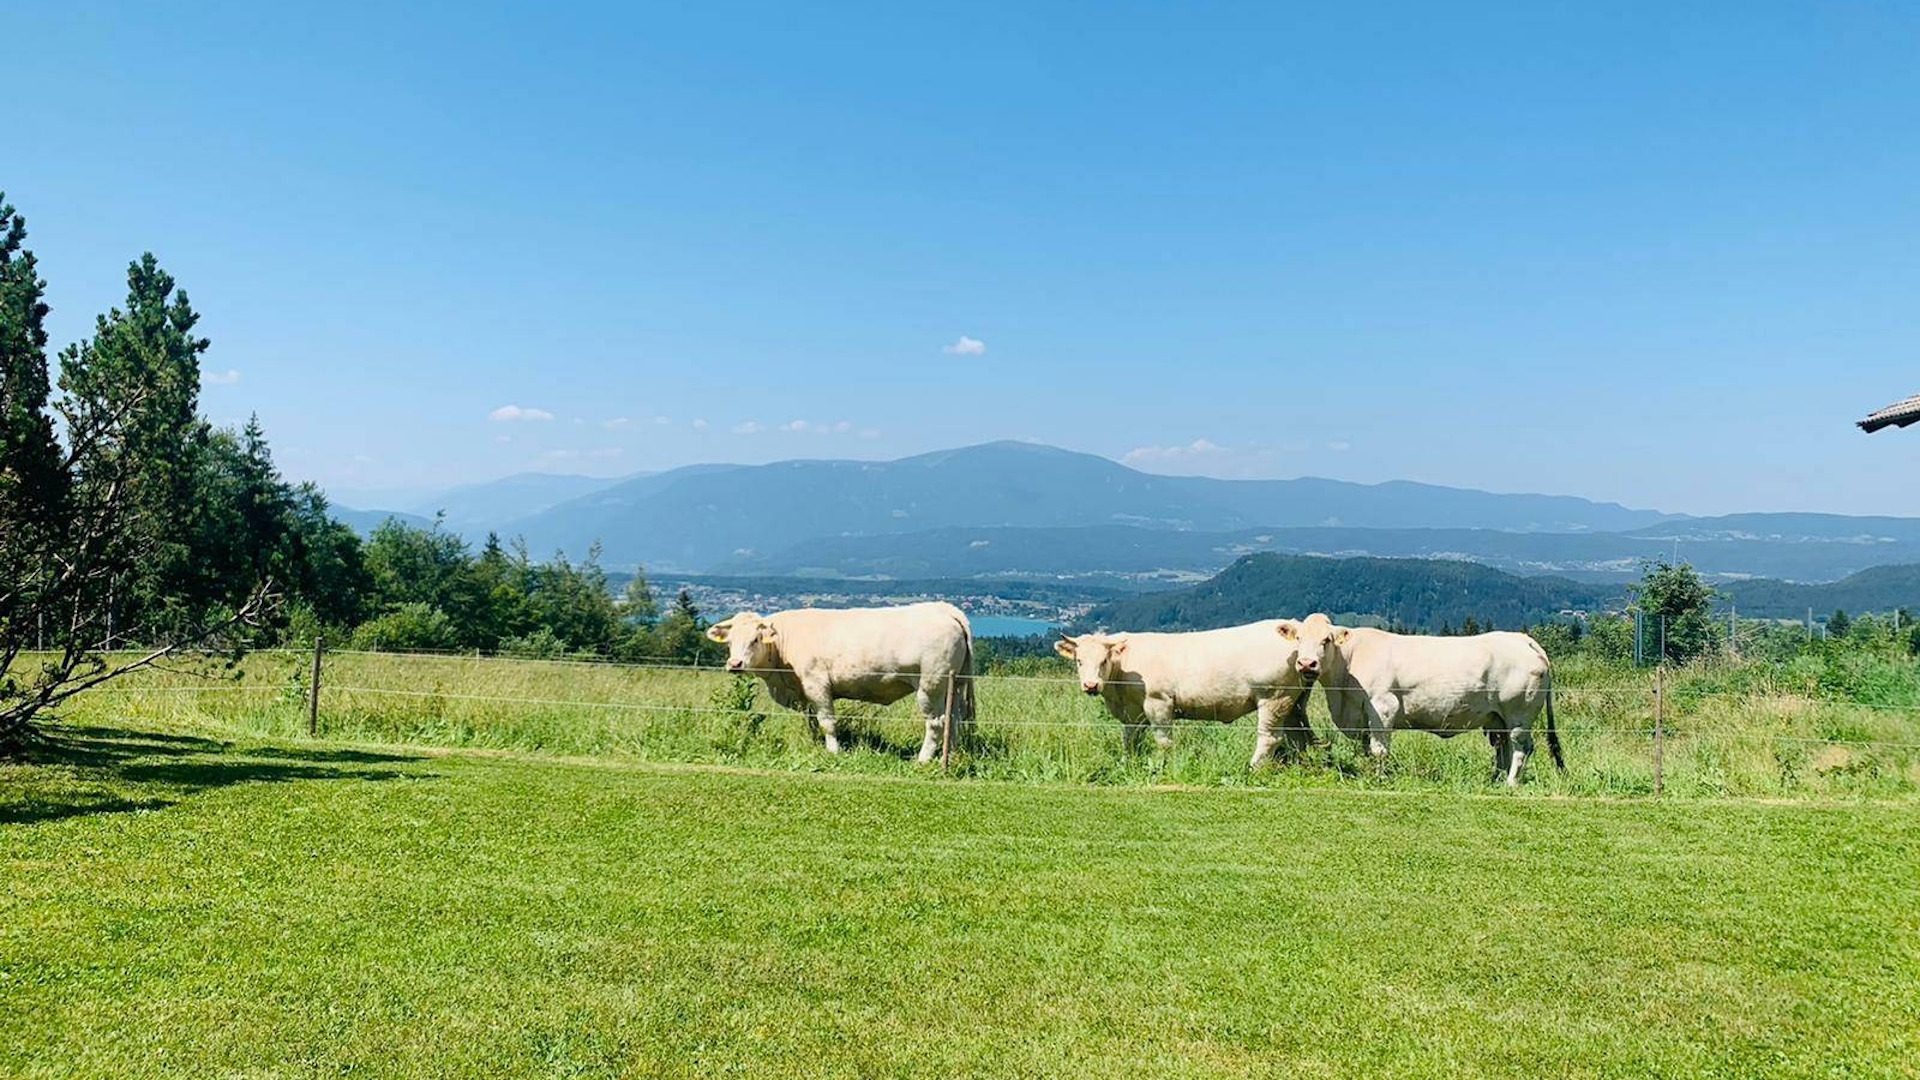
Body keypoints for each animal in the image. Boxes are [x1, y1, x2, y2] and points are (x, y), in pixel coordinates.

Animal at [706, 599, 975, 760]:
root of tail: (944, 609)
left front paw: (833, 751)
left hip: (931, 685)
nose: (735, 664)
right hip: (954, 686)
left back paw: (923, 759)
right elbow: (812, 723)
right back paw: (953, 755)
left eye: (755, 640)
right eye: (730, 642)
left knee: (936, 722)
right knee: (955, 719)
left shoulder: (817, 685)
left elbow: (827, 722)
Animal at [1052, 618, 1320, 760]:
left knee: (1270, 737)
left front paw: (1164, 766)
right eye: (1079, 661)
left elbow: (1163, 740)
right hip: (1293, 703)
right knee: (1299, 737)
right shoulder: (1133, 711)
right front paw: (1129, 763)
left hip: (1274, 697)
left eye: (1104, 660)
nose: (1091, 685)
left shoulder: (1158, 702)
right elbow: (1130, 738)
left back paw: (1253, 768)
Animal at [1290, 614, 1559, 780]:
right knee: (1504, 750)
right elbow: (1367, 750)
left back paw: (1510, 784)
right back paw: (1495, 780)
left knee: (1521, 749)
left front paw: (1379, 778)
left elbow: (1379, 750)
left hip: (1519, 716)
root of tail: (1523, 639)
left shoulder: (1383, 707)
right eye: (1299, 639)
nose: (1307, 663)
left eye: (1326, 640)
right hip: (1498, 719)